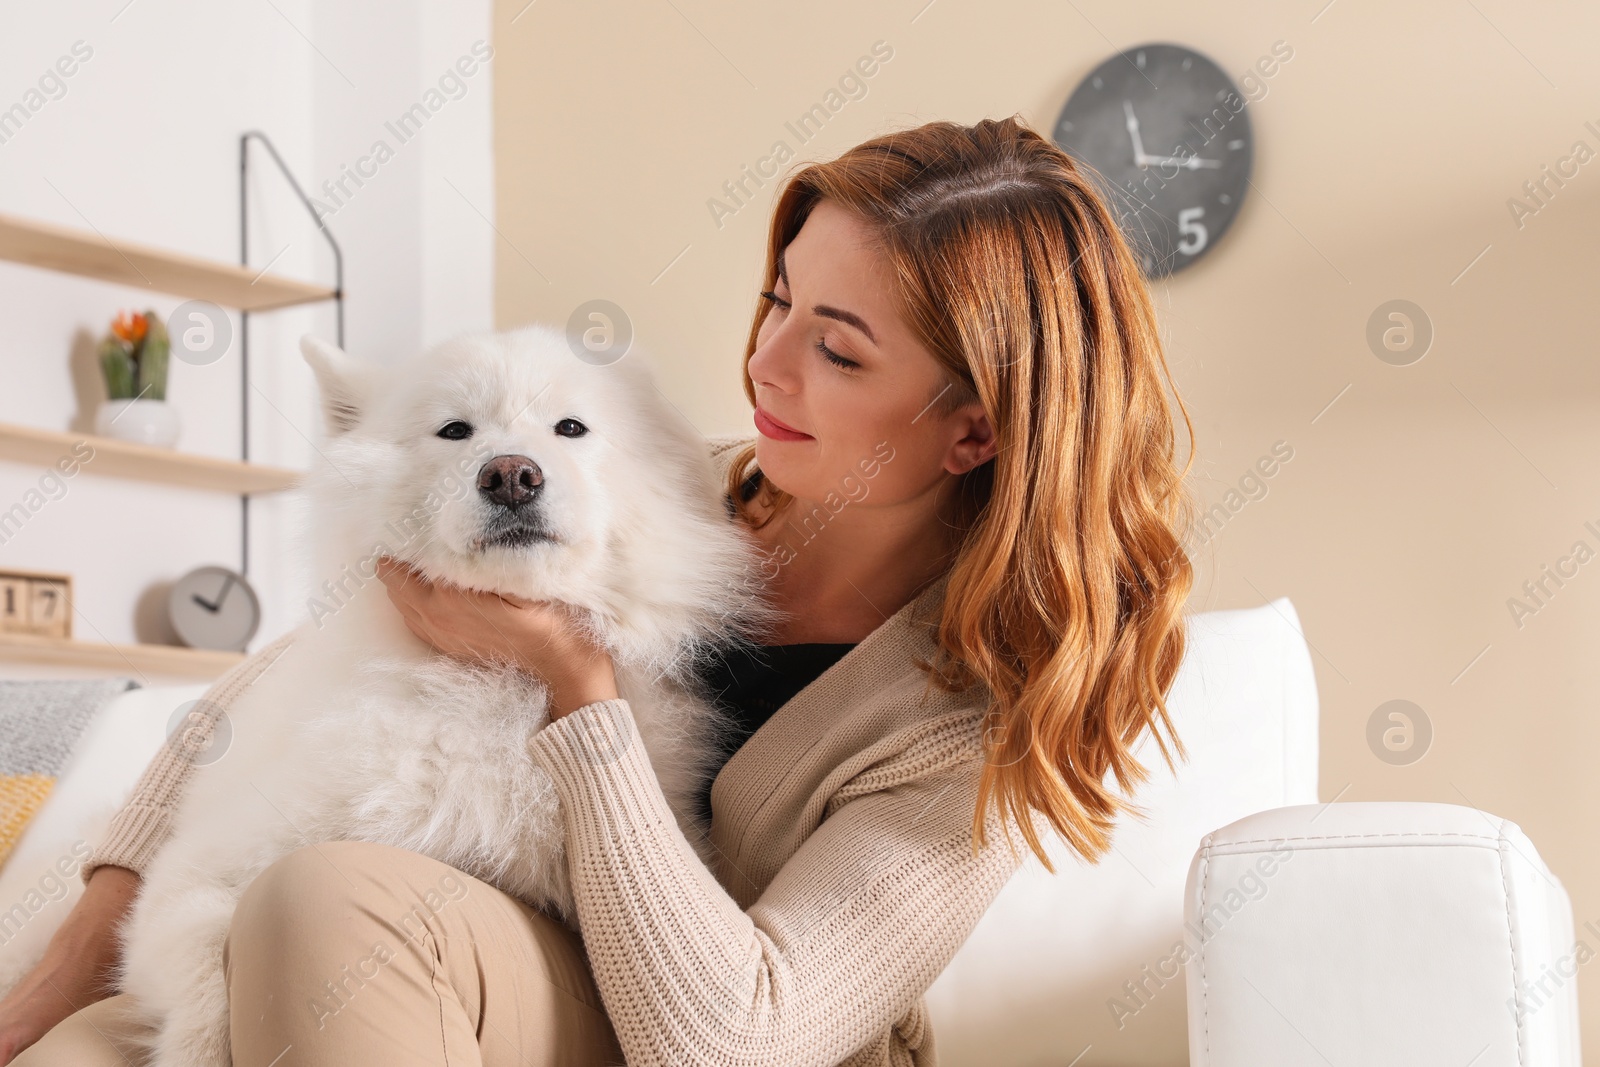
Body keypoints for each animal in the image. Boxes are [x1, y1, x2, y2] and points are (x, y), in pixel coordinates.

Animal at [114, 326, 774, 1067]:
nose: (511, 474)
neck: (501, 685)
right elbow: (204, 976)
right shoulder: (203, 868)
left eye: (571, 428)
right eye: (455, 430)